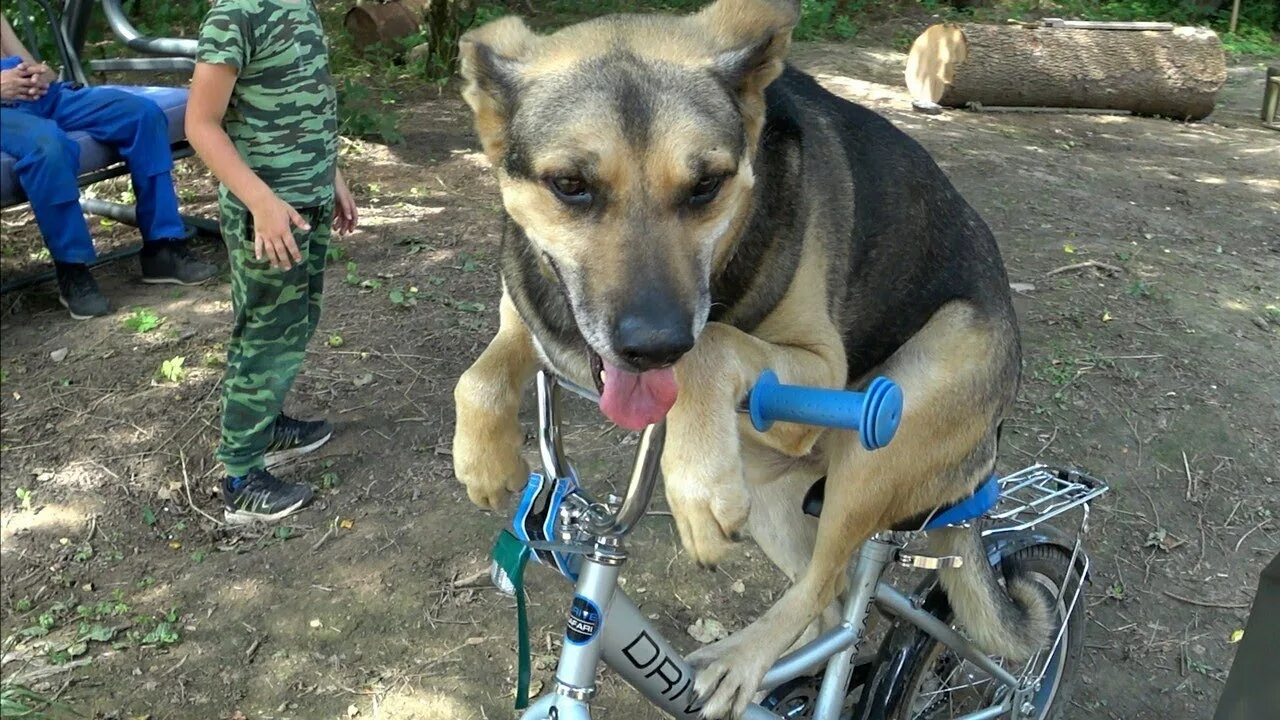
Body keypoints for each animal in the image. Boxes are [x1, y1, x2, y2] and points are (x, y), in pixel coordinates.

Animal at [450, 1, 1049, 712]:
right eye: (570, 185)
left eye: (706, 185)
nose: (654, 347)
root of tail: (980, 469)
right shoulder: (536, 316)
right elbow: (480, 373)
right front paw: (485, 456)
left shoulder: (820, 366)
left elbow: (713, 343)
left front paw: (695, 475)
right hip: (770, 489)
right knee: (829, 602)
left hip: (897, 415)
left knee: (827, 585)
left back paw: (742, 659)